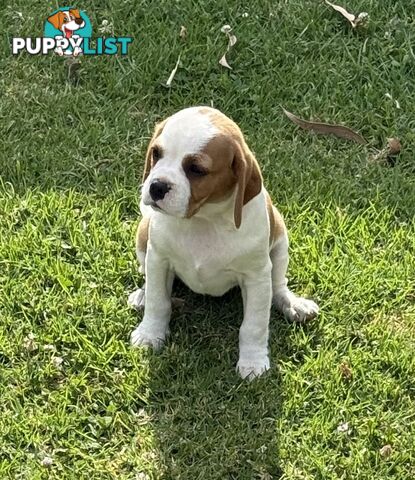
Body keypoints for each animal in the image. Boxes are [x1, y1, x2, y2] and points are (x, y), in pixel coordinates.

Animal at [128, 106, 320, 378]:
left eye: (196, 169)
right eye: (156, 153)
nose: (156, 186)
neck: (204, 220)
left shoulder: (256, 277)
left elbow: (254, 324)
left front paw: (253, 361)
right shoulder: (158, 259)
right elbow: (158, 302)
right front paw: (150, 334)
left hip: (280, 240)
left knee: (278, 285)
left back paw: (293, 304)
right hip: (143, 237)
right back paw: (142, 295)